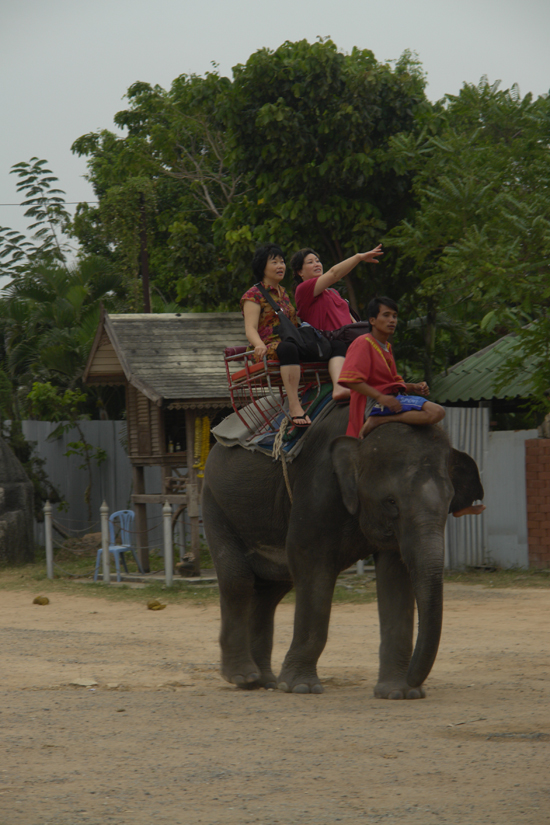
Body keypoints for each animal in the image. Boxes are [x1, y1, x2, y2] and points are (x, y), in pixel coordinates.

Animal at [203, 408, 484, 700]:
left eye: (449, 501)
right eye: (391, 501)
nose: (414, 681)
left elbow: (395, 574)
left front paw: (399, 693)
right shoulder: (318, 488)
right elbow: (309, 561)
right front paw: (301, 688)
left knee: (271, 591)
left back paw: (264, 681)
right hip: (215, 505)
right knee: (238, 581)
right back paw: (243, 677)